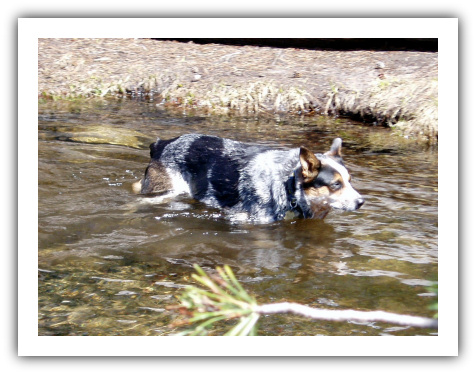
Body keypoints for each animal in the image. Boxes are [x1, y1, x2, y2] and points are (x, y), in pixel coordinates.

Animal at [132, 134, 362, 222]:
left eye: (350, 181)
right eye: (336, 184)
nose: (361, 202)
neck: (287, 187)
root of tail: (160, 144)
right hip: (163, 191)